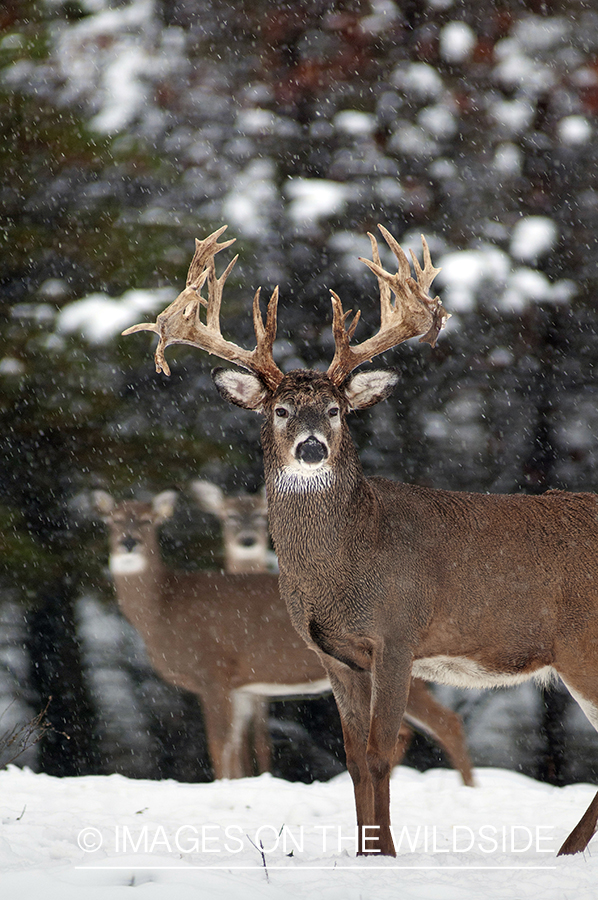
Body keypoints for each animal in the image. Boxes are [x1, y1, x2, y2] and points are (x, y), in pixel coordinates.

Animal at [123, 227, 598, 856]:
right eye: (279, 409)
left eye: (336, 409)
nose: (311, 447)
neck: (350, 558)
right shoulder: (334, 653)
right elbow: (351, 759)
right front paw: (361, 851)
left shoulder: (398, 633)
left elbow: (379, 753)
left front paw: (386, 854)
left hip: (583, 646)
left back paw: (567, 851)